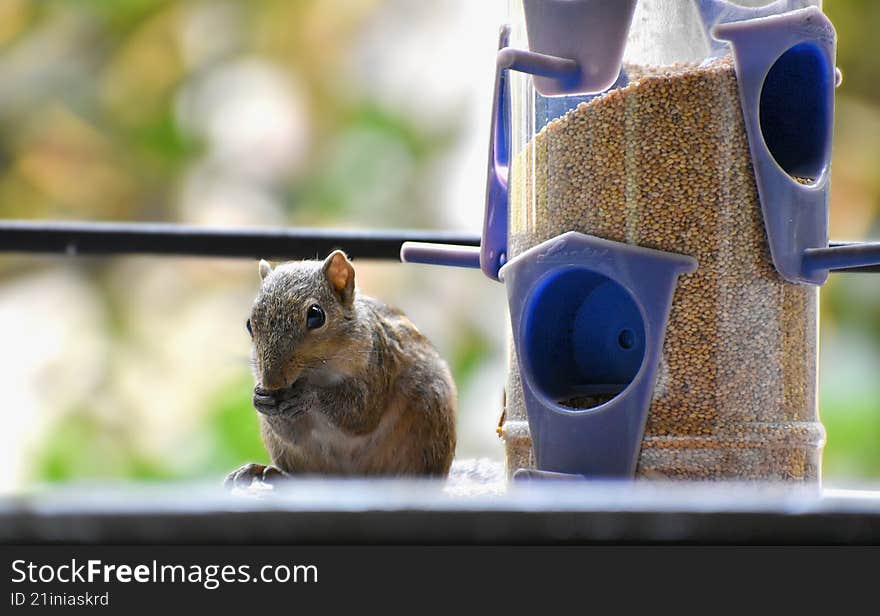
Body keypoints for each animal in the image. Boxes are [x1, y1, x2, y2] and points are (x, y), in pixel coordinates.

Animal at [225, 250, 457, 488]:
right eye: (249, 324)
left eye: (316, 315)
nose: (272, 382)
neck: (316, 373)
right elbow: (293, 434)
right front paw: (261, 399)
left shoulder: (377, 363)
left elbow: (360, 412)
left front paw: (306, 395)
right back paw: (268, 472)